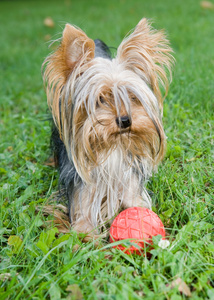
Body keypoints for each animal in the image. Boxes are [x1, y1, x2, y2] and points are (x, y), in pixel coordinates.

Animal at [42, 18, 174, 239]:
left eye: (131, 96)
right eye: (100, 99)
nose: (125, 121)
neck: (111, 144)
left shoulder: (130, 182)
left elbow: (135, 203)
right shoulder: (82, 191)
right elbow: (83, 229)